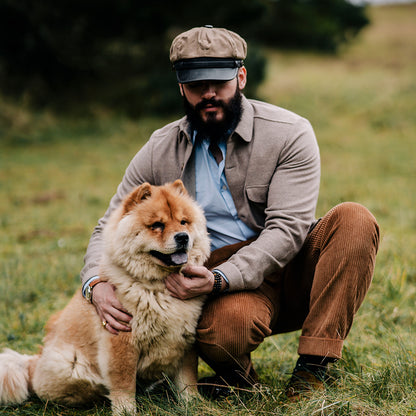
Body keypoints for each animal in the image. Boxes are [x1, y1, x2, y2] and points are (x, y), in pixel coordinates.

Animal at [0, 181, 211, 416]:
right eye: (157, 225)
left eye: (184, 222)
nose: (183, 236)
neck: (159, 287)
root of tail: (34, 362)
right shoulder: (121, 340)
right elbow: (123, 382)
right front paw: (126, 411)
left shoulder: (185, 338)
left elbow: (187, 378)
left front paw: (193, 403)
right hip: (71, 367)